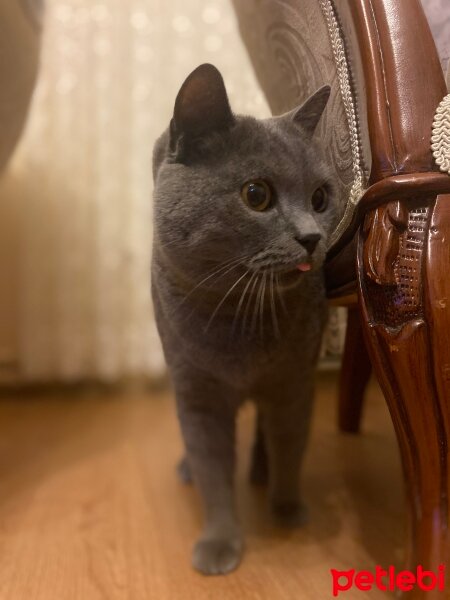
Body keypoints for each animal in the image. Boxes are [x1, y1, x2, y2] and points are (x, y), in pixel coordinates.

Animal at [151, 64, 338, 576]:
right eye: (256, 195)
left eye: (320, 198)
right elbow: (212, 469)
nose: (312, 237)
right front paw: (219, 543)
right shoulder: (197, 392)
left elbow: (291, 442)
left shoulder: (295, 382)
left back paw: (259, 470)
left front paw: (288, 508)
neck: (240, 316)